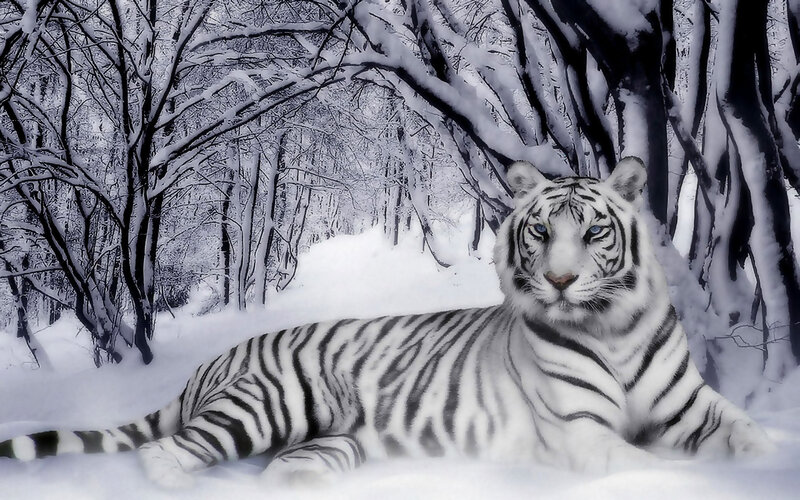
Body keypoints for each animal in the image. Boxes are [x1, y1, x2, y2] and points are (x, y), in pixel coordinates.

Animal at [0, 157, 774, 488]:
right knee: (165, 455)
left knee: (281, 471)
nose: (559, 280)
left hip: (329, 445)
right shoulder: (582, 433)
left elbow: (749, 435)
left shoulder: (692, 407)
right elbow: (648, 464)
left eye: (593, 233)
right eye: (540, 232)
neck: (612, 328)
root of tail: (209, 365)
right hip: (266, 403)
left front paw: (765, 459)